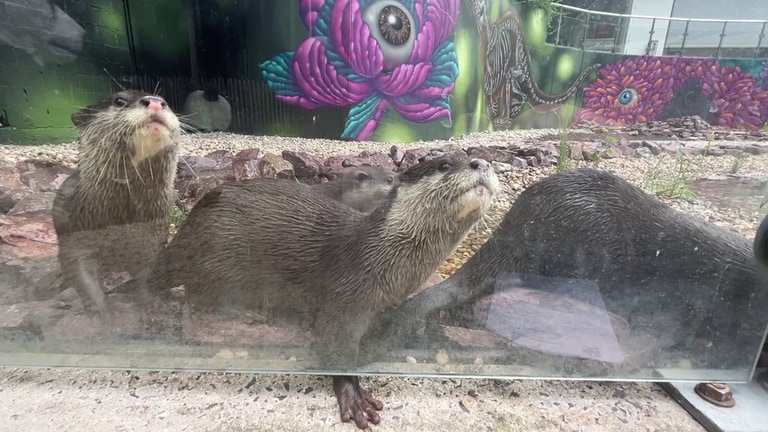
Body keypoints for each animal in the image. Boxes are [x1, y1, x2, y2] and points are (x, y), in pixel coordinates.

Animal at [52, 90, 182, 323]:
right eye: (120, 101)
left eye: (166, 101)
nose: (155, 102)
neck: (120, 217)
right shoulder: (74, 233)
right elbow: (82, 275)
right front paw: (102, 314)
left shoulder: (153, 234)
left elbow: (149, 271)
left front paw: (151, 307)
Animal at [148, 152, 499, 429]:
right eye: (444, 164)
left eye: (478, 158)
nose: (482, 162)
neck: (382, 256)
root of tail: (188, 228)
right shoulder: (348, 291)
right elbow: (335, 343)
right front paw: (353, 395)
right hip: (220, 254)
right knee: (197, 296)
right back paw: (250, 312)